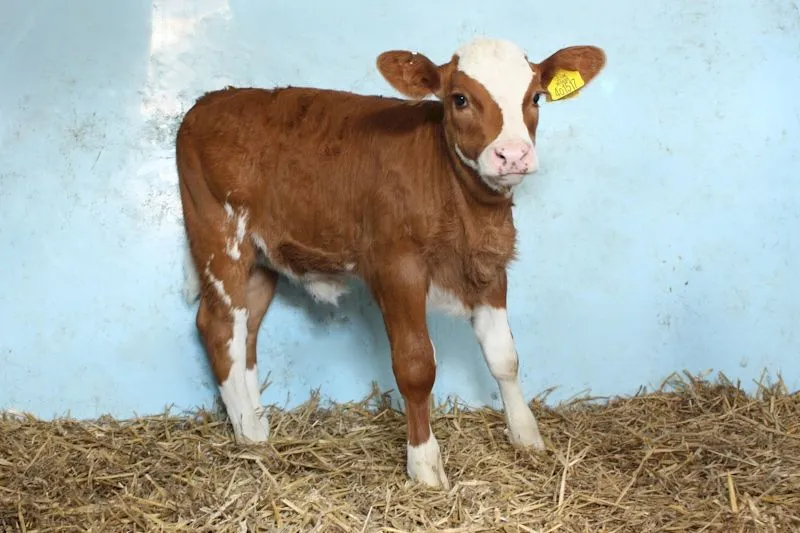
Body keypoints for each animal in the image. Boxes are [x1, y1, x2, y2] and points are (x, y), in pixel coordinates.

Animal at [176, 37, 606, 488]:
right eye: (460, 98)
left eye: (536, 96)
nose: (513, 155)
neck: (466, 209)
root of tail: (211, 101)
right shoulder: (398, 268)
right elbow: (416, 366)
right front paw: (425, 466)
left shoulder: (491, 266)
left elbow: (504, 357)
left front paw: (527, 437)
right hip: (219, 236)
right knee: (219, 326)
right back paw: (249, 436)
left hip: (261, 259)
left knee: (245, 331)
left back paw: (258, 427)